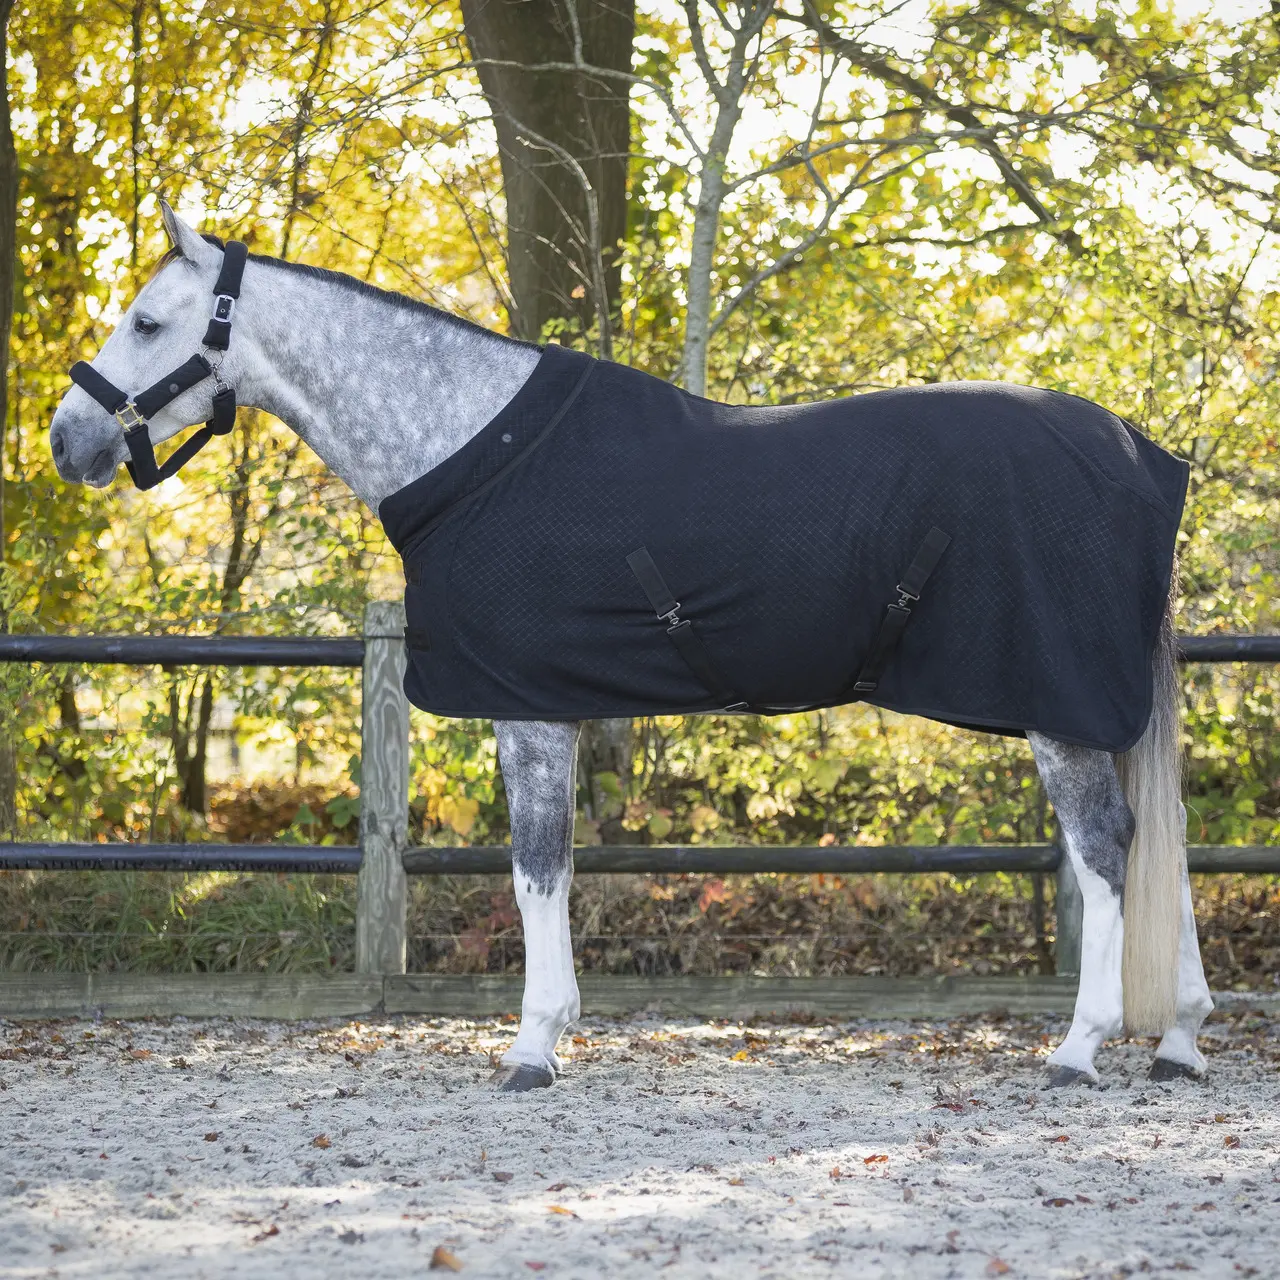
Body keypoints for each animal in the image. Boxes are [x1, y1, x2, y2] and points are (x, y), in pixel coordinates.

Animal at [49, 203, 1213, 1092]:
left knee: (1106, 847)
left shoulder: (525, 709)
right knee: (1160, 840)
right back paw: (1182, 1040)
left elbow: (535, 868)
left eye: (148, 320)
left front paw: (531, 1047)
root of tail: (1136, 452)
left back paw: (1079, 1050)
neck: (465, 446)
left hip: (1061, 708)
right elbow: (553, 867)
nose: (67, 440)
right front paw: (553, 1032)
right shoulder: (550, 707)